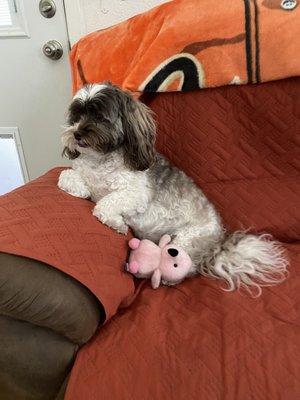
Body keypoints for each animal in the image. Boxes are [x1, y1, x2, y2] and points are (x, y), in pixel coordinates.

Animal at [58, 82, 288, 294]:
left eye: (99, 117)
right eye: (76, 116)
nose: (76, 134)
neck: (100, 161)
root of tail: (218, 242)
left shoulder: (136, 193)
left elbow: (106, 204)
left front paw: (117, 224)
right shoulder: (82, 175)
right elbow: (66, 177)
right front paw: (82, 189)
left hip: (185, 241)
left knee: (190, 267)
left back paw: (168, 278)